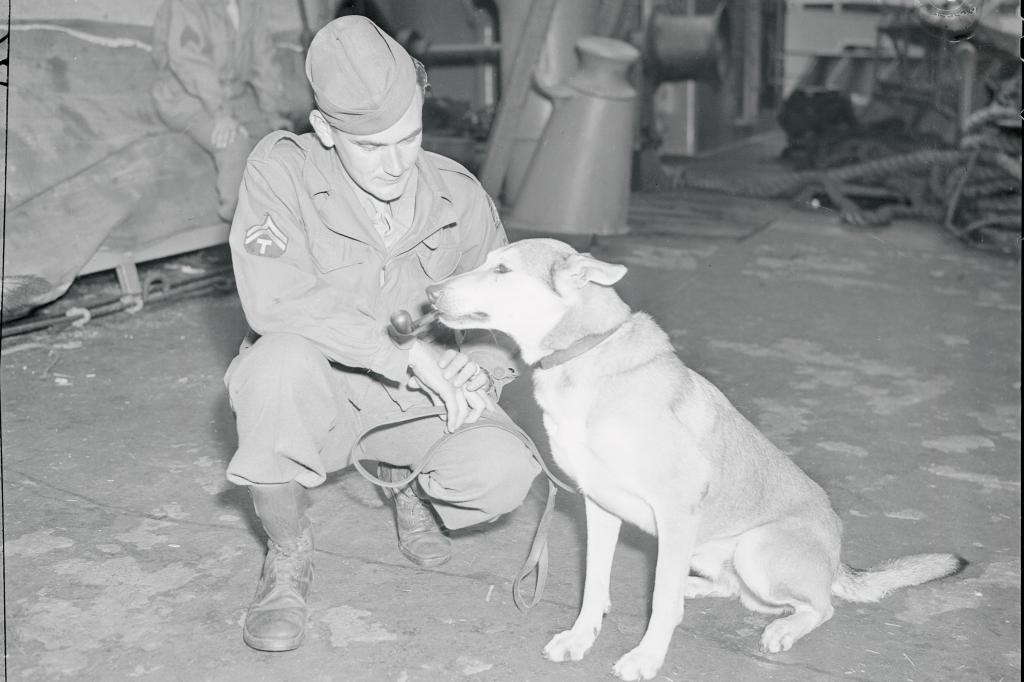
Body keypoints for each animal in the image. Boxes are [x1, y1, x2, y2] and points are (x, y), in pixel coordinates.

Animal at [425, 237, 966, 675]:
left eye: (501, 269)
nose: (430, 294)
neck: (584, 352)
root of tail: (836, 559)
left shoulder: (674, 508)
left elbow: (661, 605)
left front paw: (645, 658)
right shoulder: (599, 507)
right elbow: (594, 585)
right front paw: (581, 638)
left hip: (755, 550)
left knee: (819, 605)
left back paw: (783, 627)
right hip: (711, 550)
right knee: (732, 589)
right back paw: (697, 586)